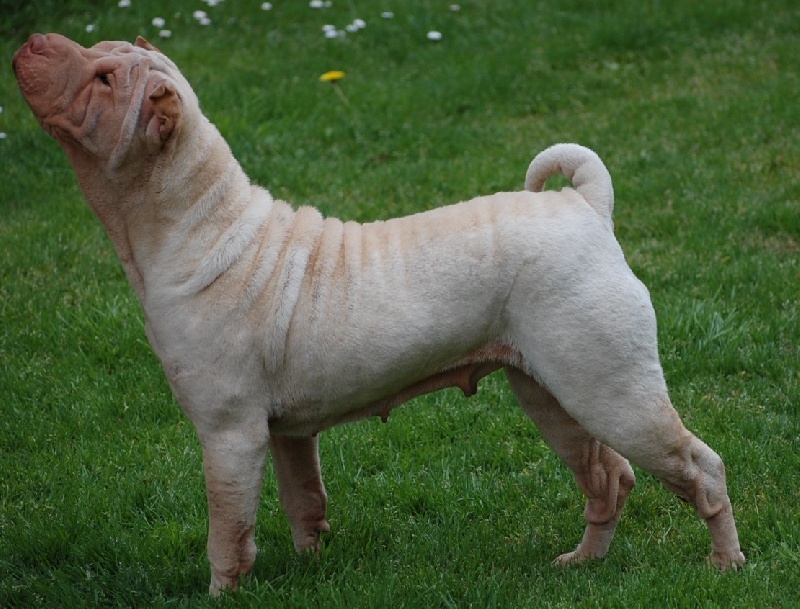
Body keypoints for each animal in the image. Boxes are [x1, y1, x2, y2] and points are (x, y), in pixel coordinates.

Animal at [13, 33, 745, 594]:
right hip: (551, 390)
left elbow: (228, 532)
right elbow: (304, 502)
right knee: (609, 477)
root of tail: (584, 206)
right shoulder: (285, 434)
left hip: (612, 390)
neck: (194, 222)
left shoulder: (228, 434)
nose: (33, 40)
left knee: (699, 466)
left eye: (106, 79)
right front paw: (312, 566)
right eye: (98, 55)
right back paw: (582, 563)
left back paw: (725, 564)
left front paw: (223, 592)